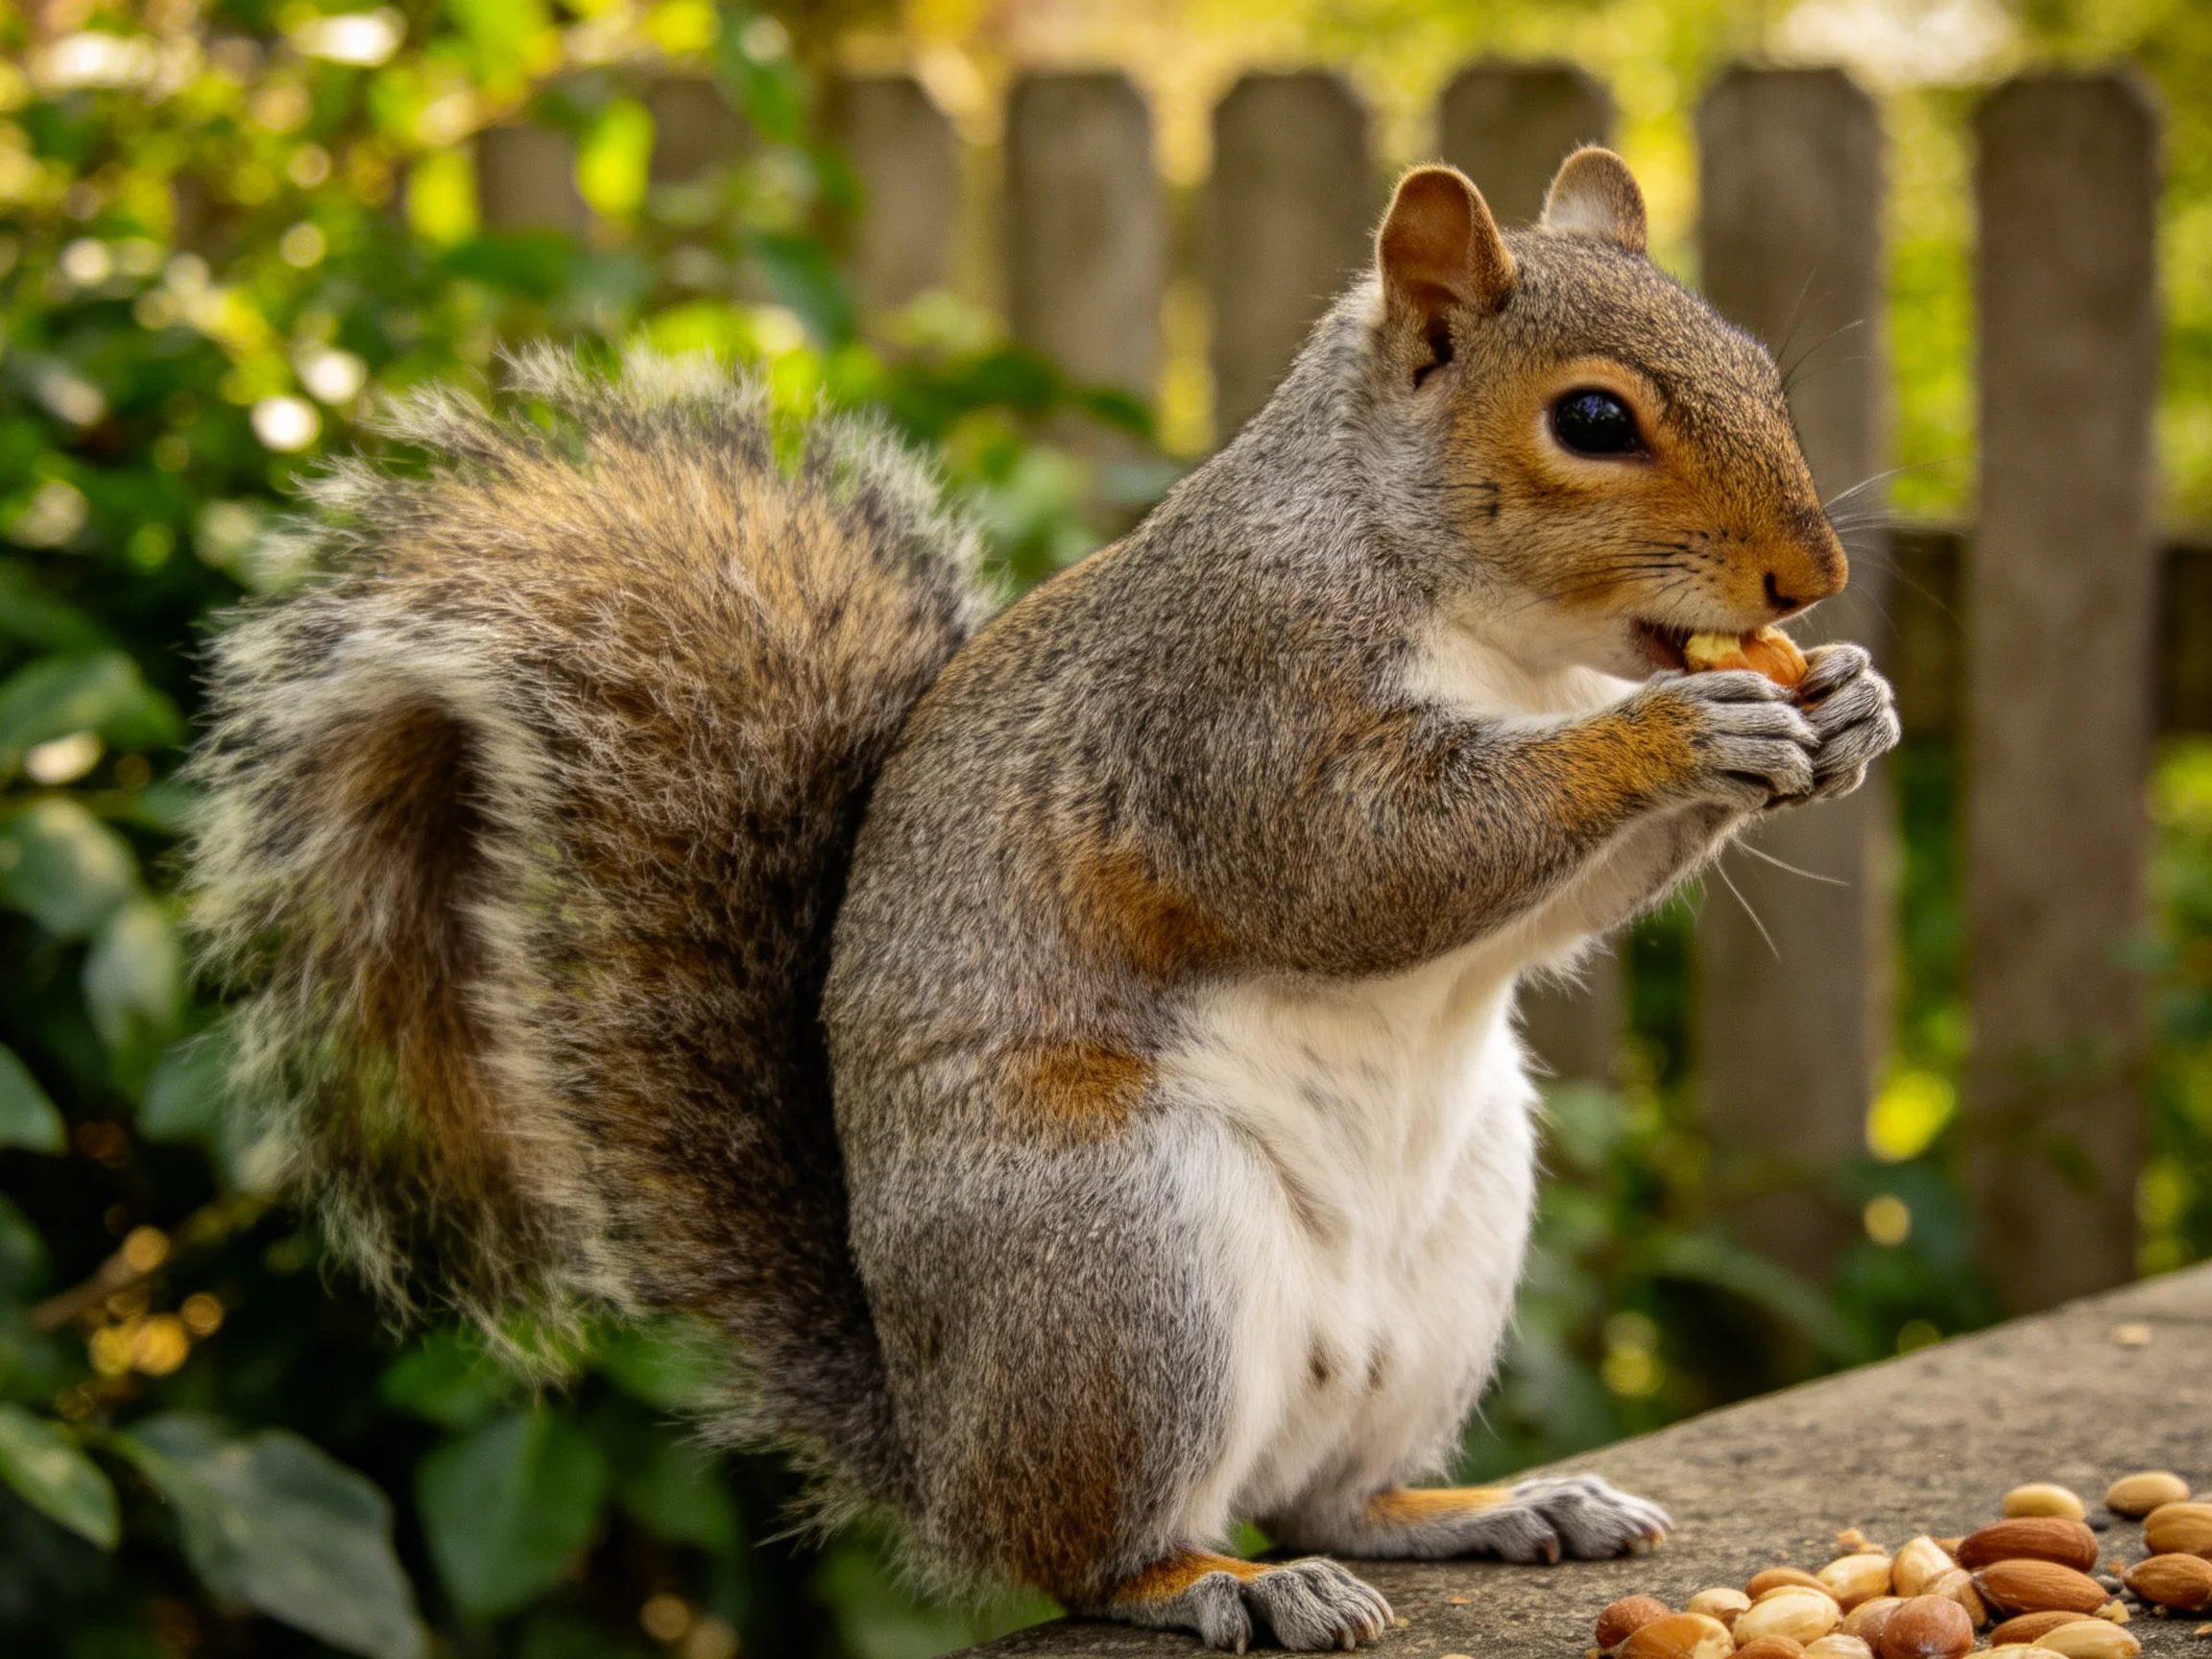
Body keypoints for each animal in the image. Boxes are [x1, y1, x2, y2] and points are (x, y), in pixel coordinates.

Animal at [187, 148, 1899, 1651]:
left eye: (1761, 364)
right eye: (1593, 418)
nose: (1808, 585)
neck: (1499, 639)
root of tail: (938, 1456)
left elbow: (1540, 916)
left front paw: (1845, 710)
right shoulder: (1228, 708)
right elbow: (1364, 869)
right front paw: (1679, 734)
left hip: (1451, 1257)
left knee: (1332, 1498)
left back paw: (1489, 1508)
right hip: (1120, 1265)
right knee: (1094, 1554)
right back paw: (1220, 1587)